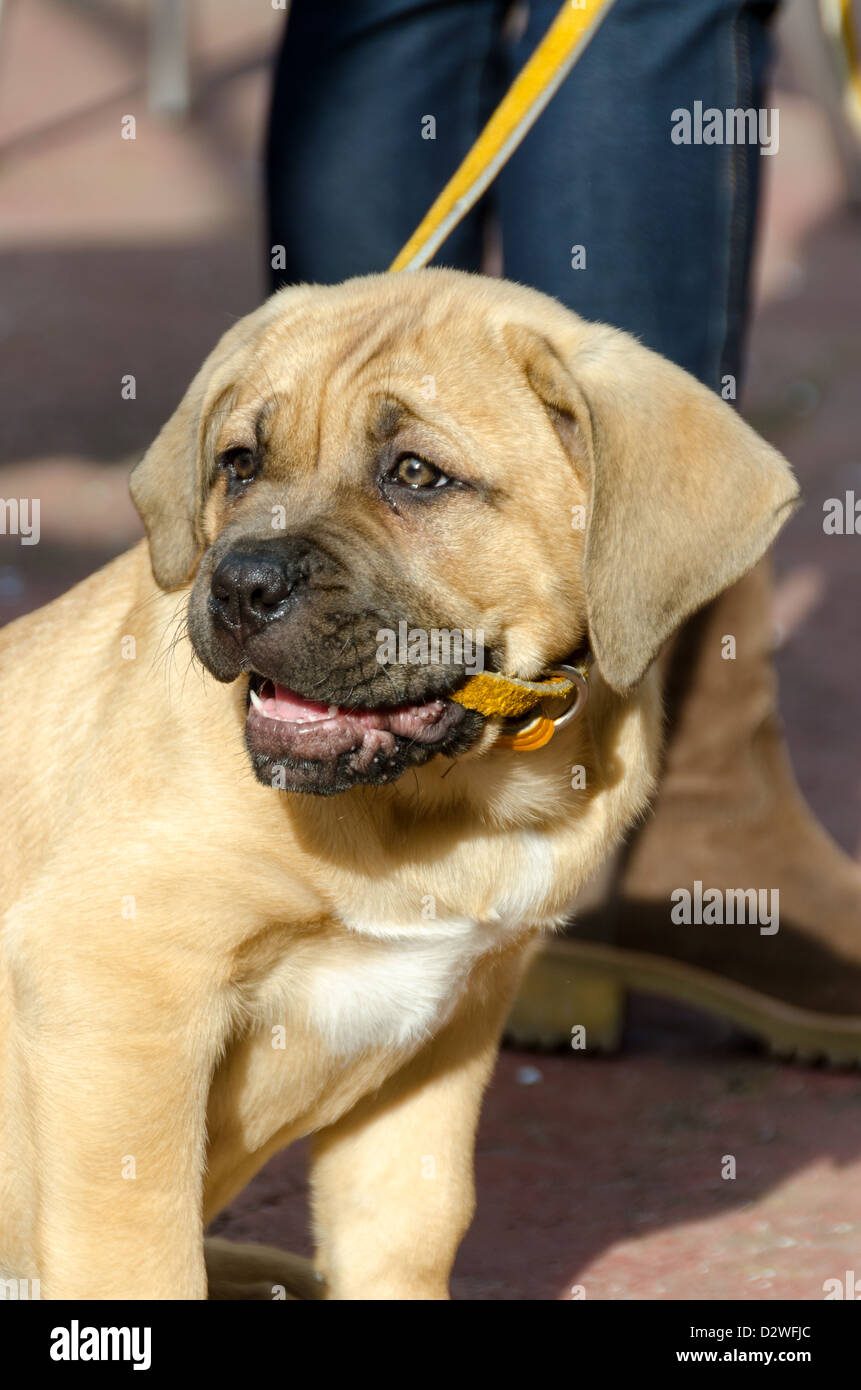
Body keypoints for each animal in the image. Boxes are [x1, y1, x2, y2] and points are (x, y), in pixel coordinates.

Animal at [0, 273, 795, 1301]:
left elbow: (413, 1226)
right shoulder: (116, 980)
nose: (237, 585)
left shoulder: (444, 1041)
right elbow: (138, 1250)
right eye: (239, 464)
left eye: (416, 474)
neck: (448, 806)